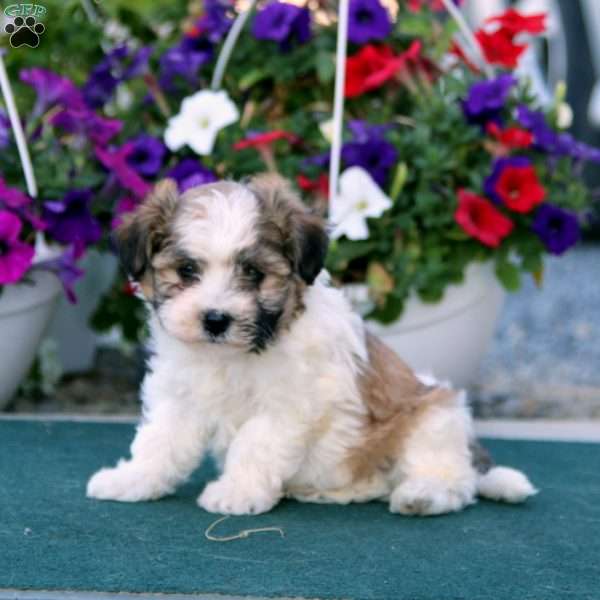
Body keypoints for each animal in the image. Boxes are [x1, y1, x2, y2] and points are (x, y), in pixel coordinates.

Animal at [86, 175, 536, 516]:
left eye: (253, 273)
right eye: (186, 270)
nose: (215, 319)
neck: (234, 356)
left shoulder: (288, 403)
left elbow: (254, 443)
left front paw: (236, 493)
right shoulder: (181, 396)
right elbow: (160, 440)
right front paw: (133, 479)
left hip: (433, 417)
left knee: (455, 481)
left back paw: (422, 494)